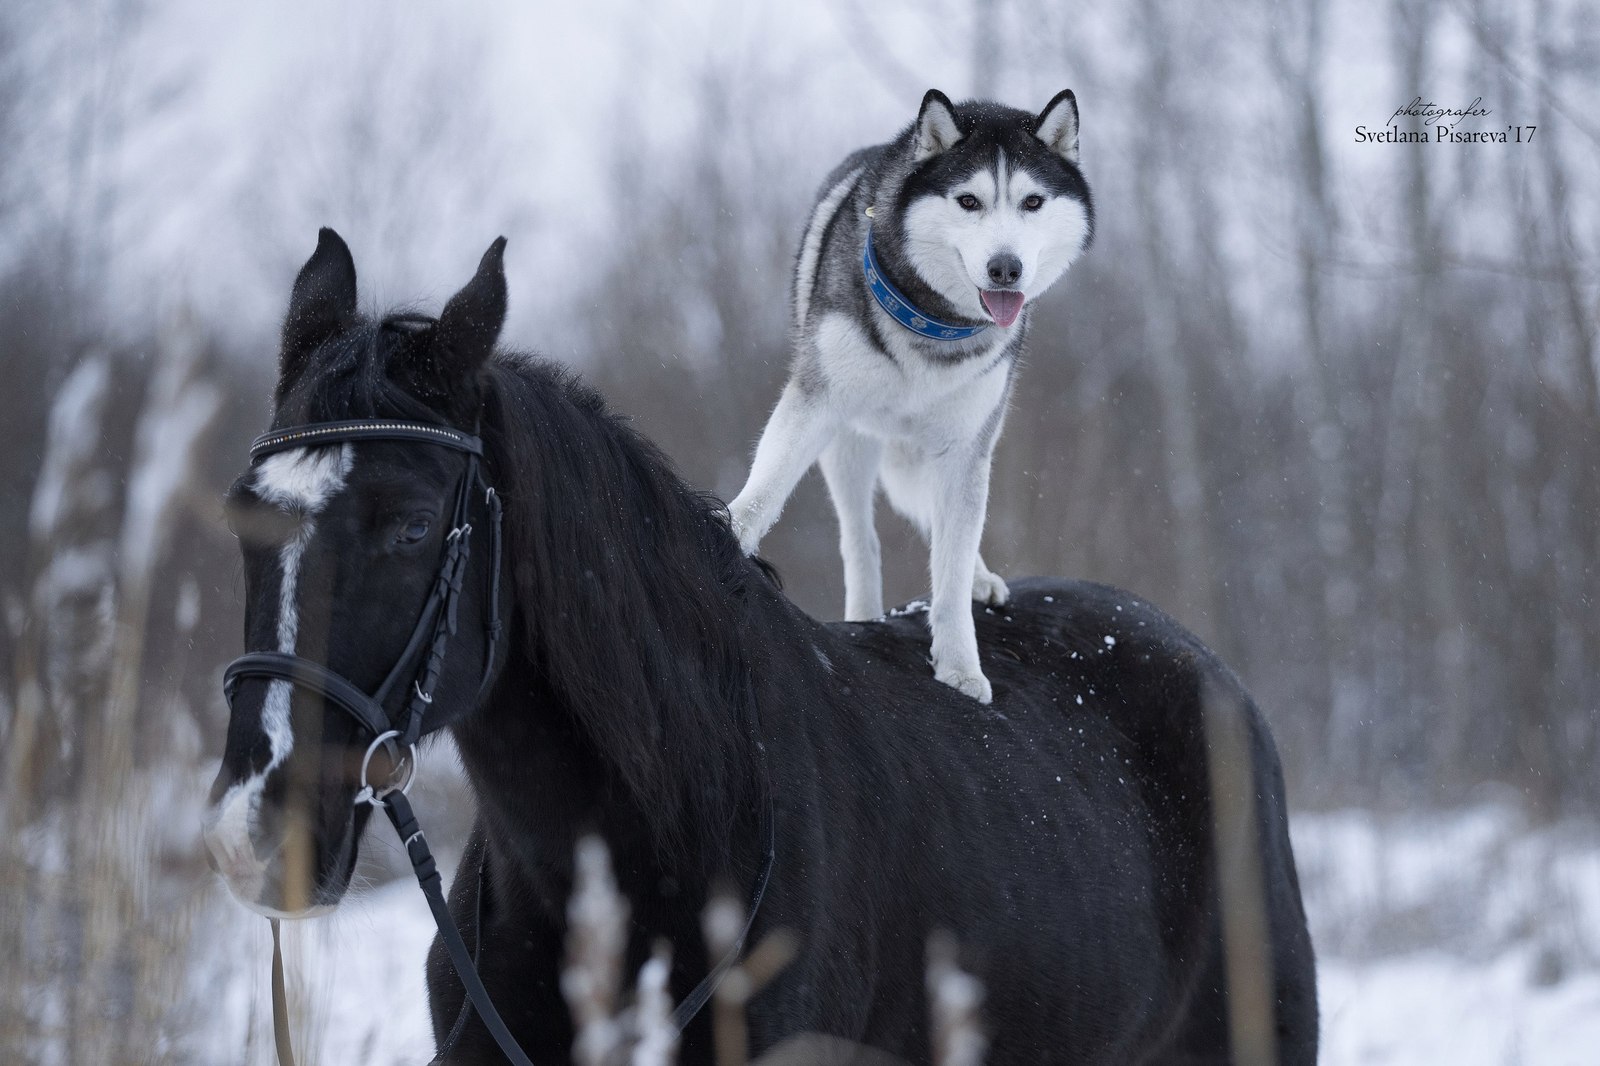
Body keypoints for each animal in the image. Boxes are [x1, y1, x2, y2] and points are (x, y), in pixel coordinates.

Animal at [732, 91, 1094, 701]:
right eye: (968, 200)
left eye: (1033, 202)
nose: (1006, 268)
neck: (934, 326)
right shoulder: (816, 402)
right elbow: (764, 494)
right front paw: (729, 529)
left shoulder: (967, 446)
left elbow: (950, 568)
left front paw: (960, 666)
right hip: (850, 446)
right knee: (861, 540)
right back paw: (864, 611)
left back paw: (979, 576)